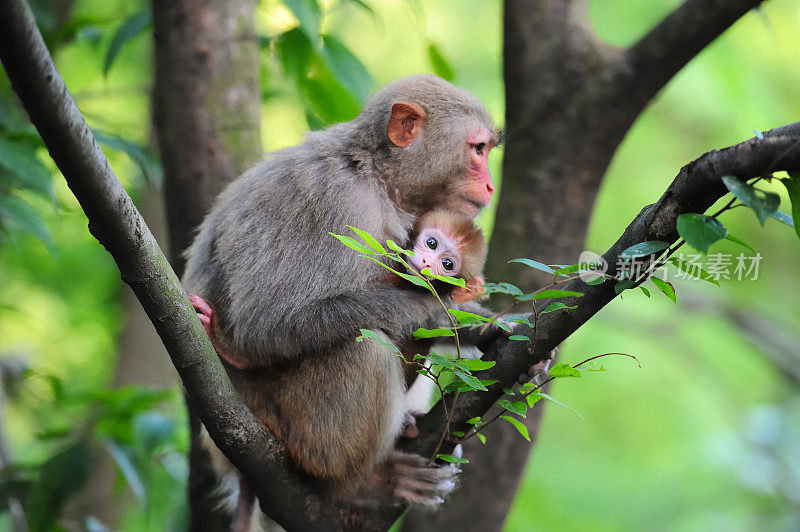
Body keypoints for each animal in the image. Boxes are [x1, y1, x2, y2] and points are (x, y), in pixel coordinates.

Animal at [184, 77, 504, 510]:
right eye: (478, 149)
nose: (490, 184)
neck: (377, 178)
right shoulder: (332, 203)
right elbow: (260, 324)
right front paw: (441, 306)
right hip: (291, 426)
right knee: (366, 344)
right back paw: (363, 484)